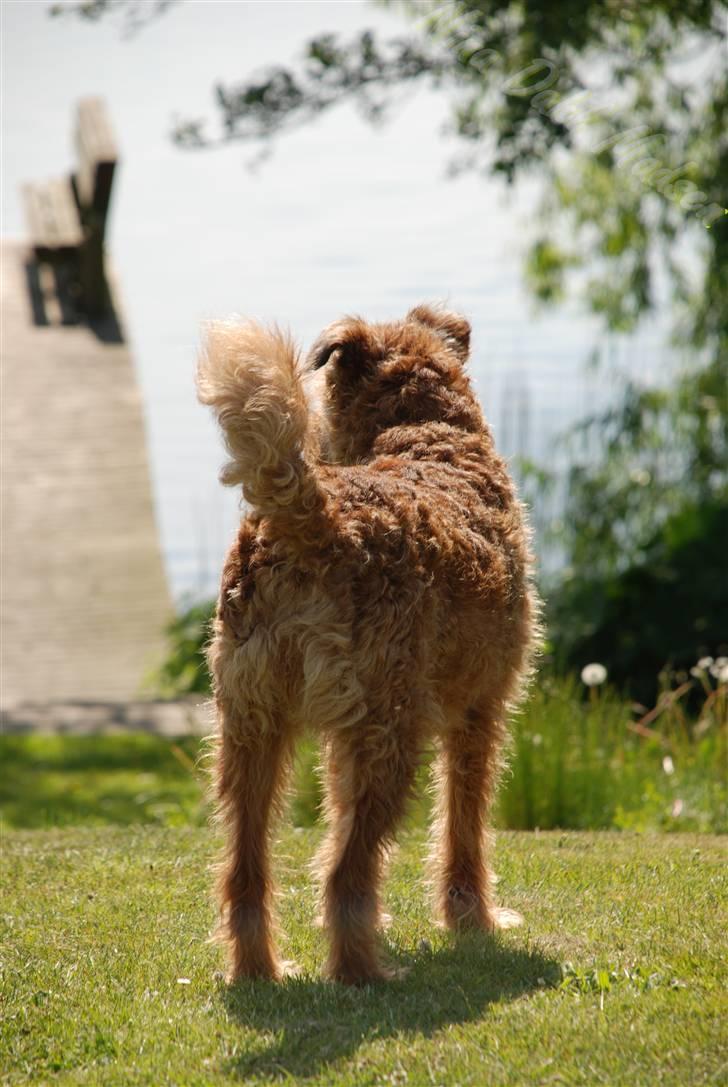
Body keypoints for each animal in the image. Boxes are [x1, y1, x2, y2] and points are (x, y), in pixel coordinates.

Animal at [196, 304, 538, 986]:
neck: (426, 431)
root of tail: (316, 526)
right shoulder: (480, 712)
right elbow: (464, 824)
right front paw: (474, 920)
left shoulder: (339, 737)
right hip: (390, 734)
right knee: (345, 874)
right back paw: (364, 973)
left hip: (248, 725)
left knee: (245, 869)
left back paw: (260, 970)